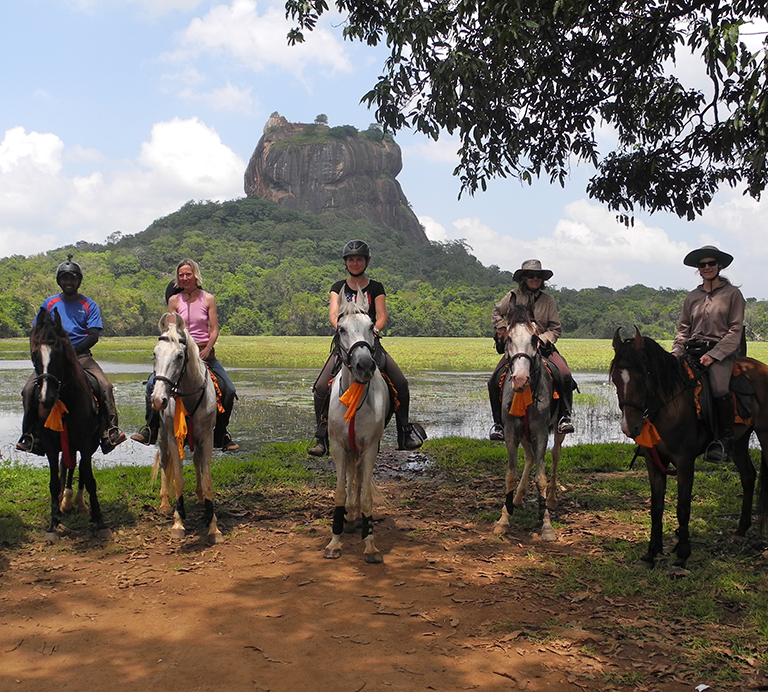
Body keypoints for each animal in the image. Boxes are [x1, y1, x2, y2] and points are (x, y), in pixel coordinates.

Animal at [28, 306, 110, 540]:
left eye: (59, 354)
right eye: (34, 354)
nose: (46, 398)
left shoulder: (85, 442)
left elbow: (89, 478)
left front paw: (99, 520)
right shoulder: (50, 444)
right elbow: (54, 480)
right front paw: (53, 522)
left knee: (80, 468)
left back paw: (80, 504)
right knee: (67, 467)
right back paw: (66, 503)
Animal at [150, 310, 220, 544]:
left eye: (180, 356)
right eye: (155, 354)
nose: (158, 400)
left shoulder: (207, 438)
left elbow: (207, 481)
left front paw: (212, 525)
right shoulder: (173, 438)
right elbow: (178, 480)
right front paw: (178, 522)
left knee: (197, 462)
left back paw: (199, 498)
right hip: (162, 438)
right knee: (164, 463)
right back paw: (164, 504)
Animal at [492, 304, 564, 540]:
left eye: (534, 338)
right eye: (508, 338)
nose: (521, 379)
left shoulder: (540, 432)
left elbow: (541, 477)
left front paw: (546, 525)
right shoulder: (511, 433)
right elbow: (510, 475)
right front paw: (504, 519)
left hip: (558, 431)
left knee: (555, 456)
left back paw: (551, 499)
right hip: (523, 434)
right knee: (531, 457)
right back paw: (516, 499)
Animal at [612, 330, 768, 572]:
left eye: (643, 376)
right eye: (616, 379)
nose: (630, 427)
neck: (669, 405)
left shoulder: (685, 462)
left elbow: (683, 508)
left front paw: (682, 555)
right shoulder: (654, 462)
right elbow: (656, 507)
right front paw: (651, 553)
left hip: (765, 434)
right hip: (740, 442)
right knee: (748, 476)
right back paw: (740, 531)